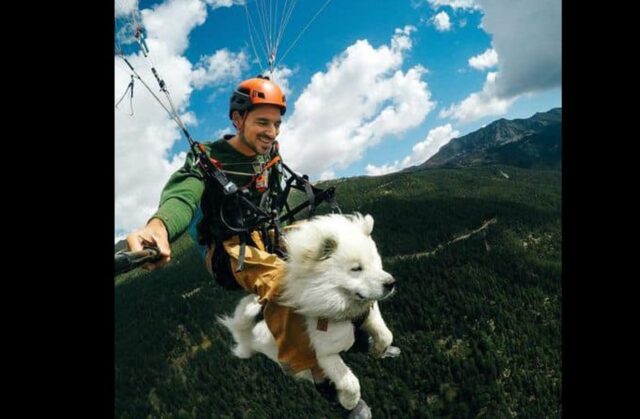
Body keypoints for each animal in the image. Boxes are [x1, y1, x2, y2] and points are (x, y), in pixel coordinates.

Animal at [220, 215, 400, 418]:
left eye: (376, 262)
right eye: (356, 269)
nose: (391, 283)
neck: (342, 308)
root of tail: (250, 341)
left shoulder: (369, 312)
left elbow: (385, 333)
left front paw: (378, 349)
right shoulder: (324, 353)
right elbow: (349, 381)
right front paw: (349, 401)